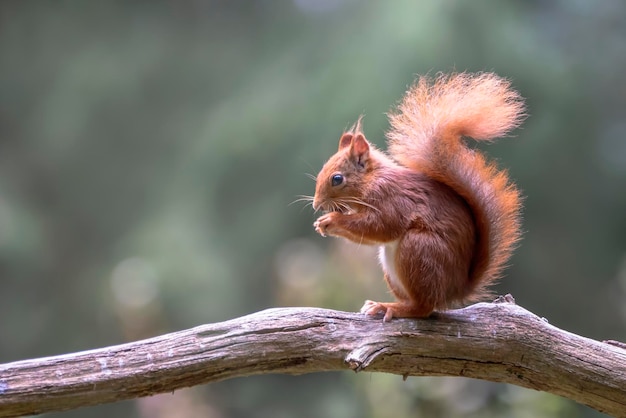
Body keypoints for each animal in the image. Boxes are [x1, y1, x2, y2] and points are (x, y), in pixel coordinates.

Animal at [310, 72, 520, 322]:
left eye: (337, 179)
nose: (316, 205)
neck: (372, 180)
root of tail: (456, 289)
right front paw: (322, 223)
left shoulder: (391, 199)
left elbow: (380, 226)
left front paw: (331, 221)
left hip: (419, 251)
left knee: (424, 307)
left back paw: (390, 308)